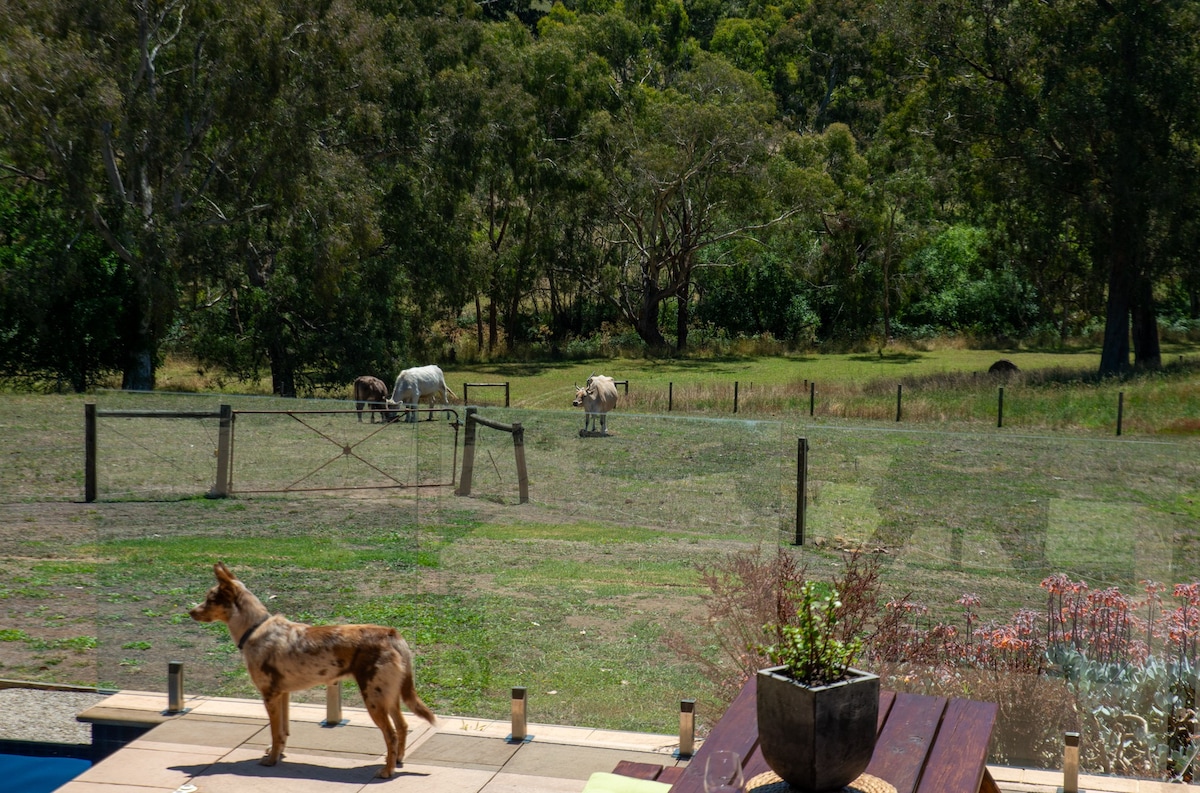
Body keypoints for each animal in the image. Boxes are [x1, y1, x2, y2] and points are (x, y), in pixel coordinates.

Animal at [194, 559, 439, 777]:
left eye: (209, 599)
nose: (190, 612)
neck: (254, 629)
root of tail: (391, 633)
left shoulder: (270, 695)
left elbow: (274, 732)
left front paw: (271, 760)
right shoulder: (283, 695)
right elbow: (283, 732)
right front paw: (278, 754)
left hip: (374, 700)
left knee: (391, 735)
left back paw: (387, 771)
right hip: (390, 698)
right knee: (403, 726)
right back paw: (397, 760)